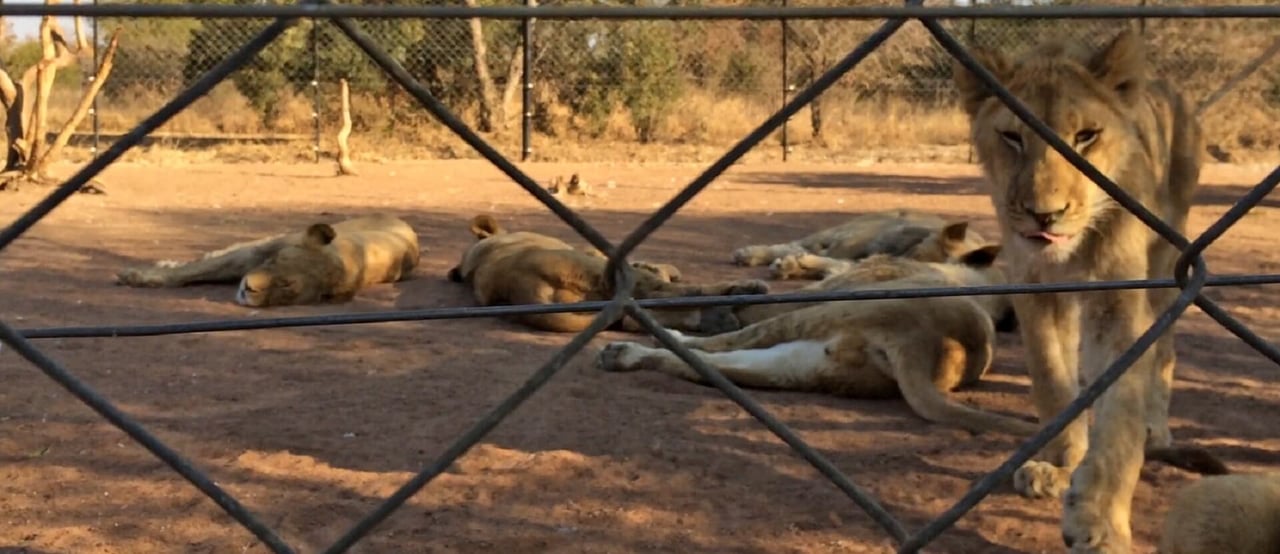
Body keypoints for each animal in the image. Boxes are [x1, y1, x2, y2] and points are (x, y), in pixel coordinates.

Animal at [450, 213, 768, 330]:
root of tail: (519, 288)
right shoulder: (596, 254)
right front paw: (665, 268)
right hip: (601, 276)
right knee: (673, 294)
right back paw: (743, 292)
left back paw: (718, 318)